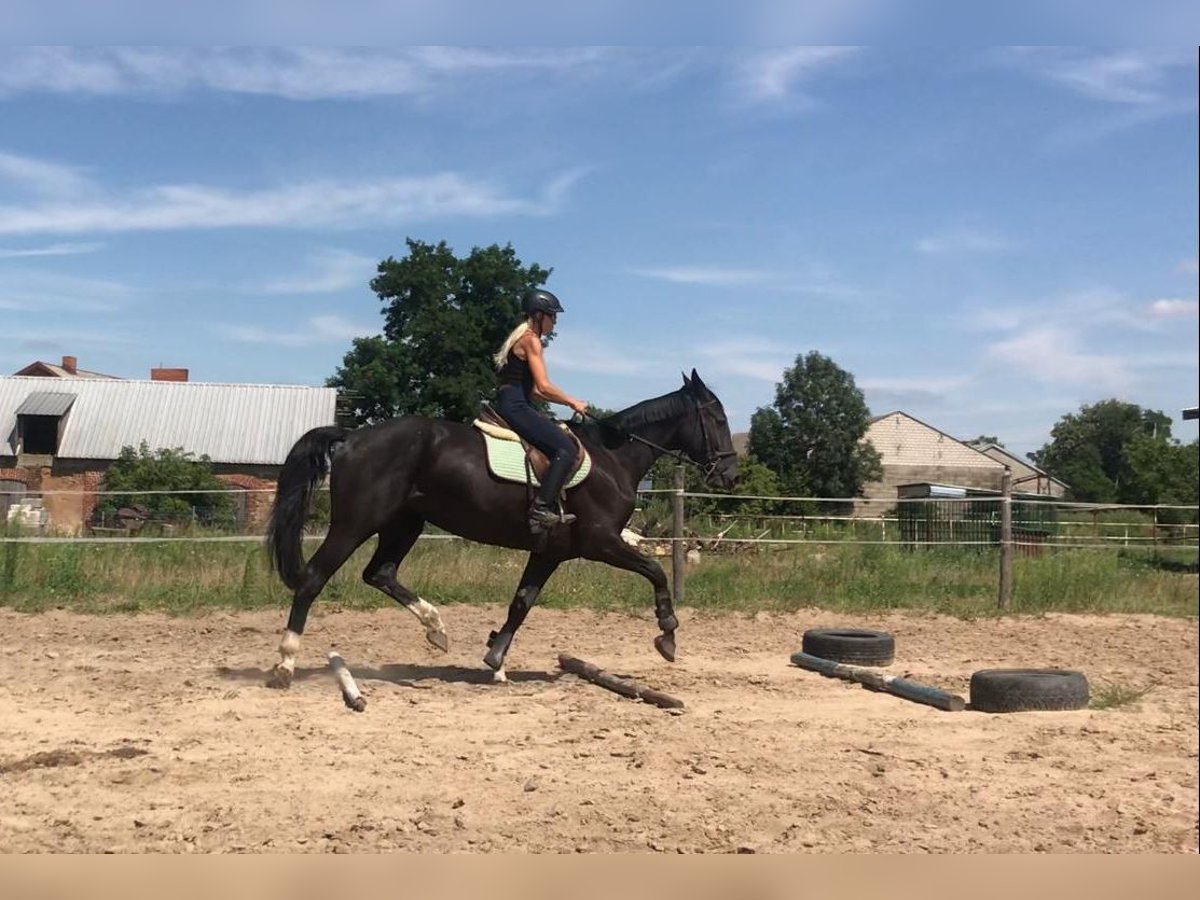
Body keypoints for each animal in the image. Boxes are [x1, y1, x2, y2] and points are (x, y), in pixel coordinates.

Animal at [260, 369, 739, 686]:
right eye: (717, 418)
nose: (729, 475)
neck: (612, 458)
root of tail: (353, 436)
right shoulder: (600, 542)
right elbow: (655, 571)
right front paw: (668, 634)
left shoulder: (550, 551)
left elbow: (521, 603)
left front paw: (495, 657)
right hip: (356, 523)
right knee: (313, 579)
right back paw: (285, 665)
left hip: (405, 523)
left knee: (380, 573)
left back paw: (437, 629)